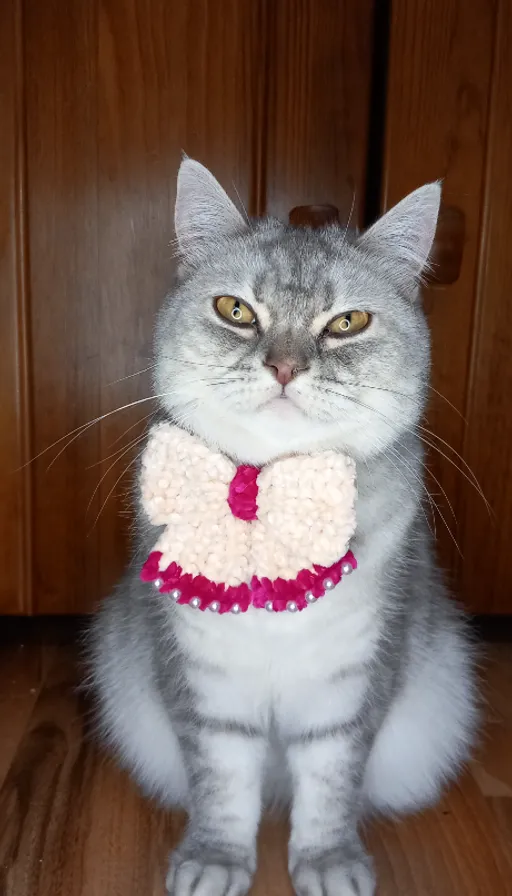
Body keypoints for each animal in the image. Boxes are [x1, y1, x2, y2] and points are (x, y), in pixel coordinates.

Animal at [87, 158, 476, 892]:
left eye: (348, 321)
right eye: (235, 310)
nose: (286, 366)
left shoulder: (353, 681)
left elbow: (330, 784)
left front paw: (328, 861)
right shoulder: (200, 679)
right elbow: (220, 782)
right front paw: (215, 858)